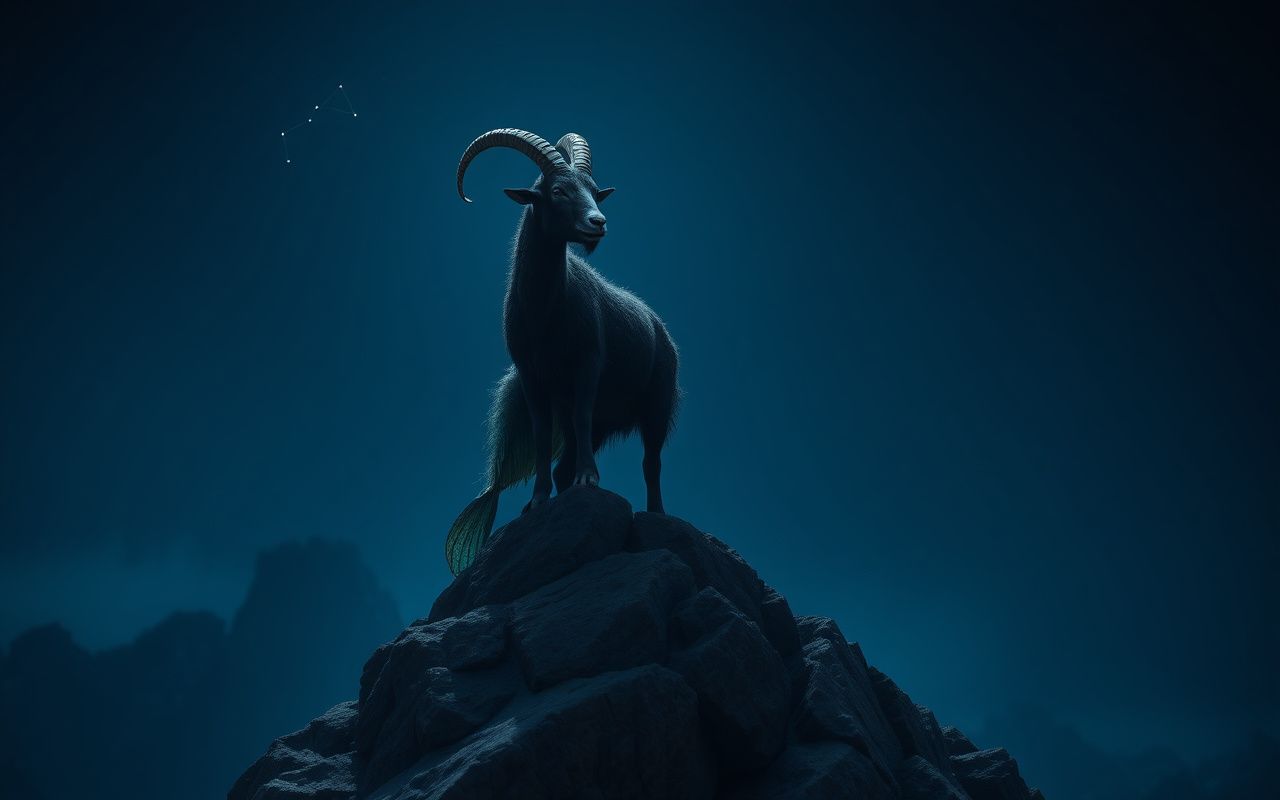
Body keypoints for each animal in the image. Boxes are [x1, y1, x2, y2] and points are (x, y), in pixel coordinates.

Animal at [443, 128, 680, 576]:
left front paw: (590, 480)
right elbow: (539, 435)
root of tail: (660, 329)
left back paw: (657, 515)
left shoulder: (587, 368)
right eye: (557, 191)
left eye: (594, 192)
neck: (546, 315)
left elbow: (585, 415)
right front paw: (536, 502)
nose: (597, 224)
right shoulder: (533, 379)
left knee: (651, 463)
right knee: (564, 462)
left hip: (657, 404)